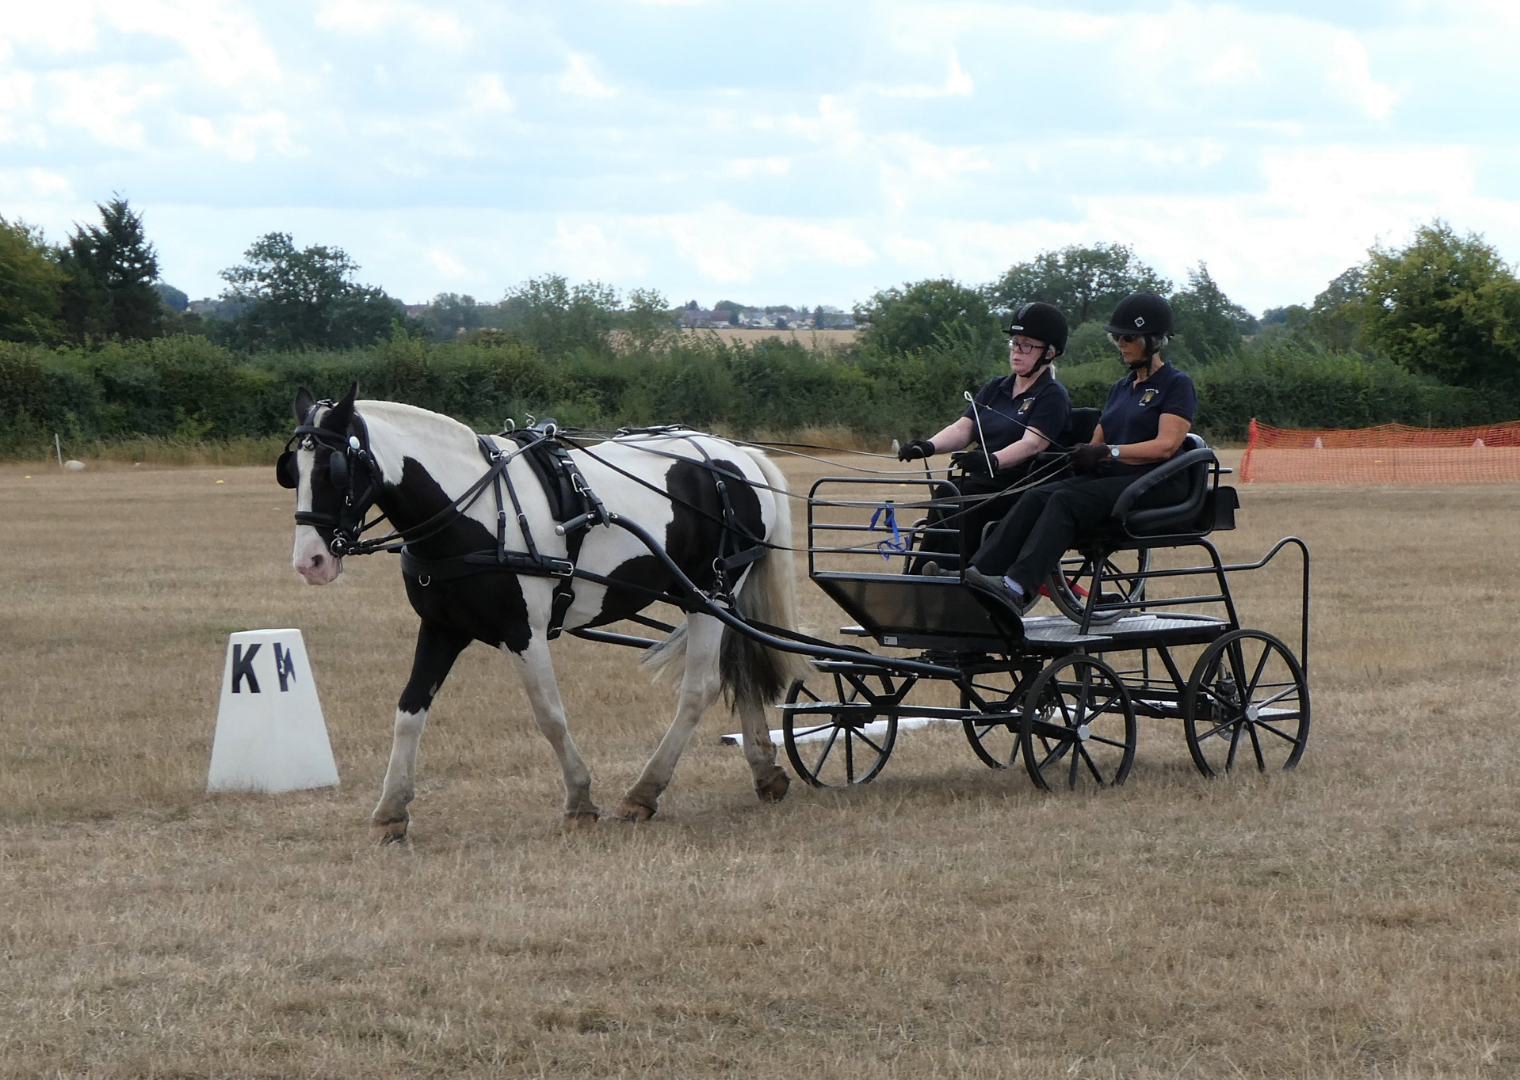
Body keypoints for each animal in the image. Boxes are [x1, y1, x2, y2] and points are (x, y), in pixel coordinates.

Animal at [279, 384, 814, 838]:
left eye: (334, 470)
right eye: (292, 472)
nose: (310, 562)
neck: (471, 511)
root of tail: (736, 455)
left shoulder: (524, 631)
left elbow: (549, 714)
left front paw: (579, 800)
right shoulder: (441, 628)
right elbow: (409, 711)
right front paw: (391, 810)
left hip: (709, 594)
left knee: (699, 688)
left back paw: (644, 791)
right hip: (718, 598)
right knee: (739, 668)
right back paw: (765, 772)